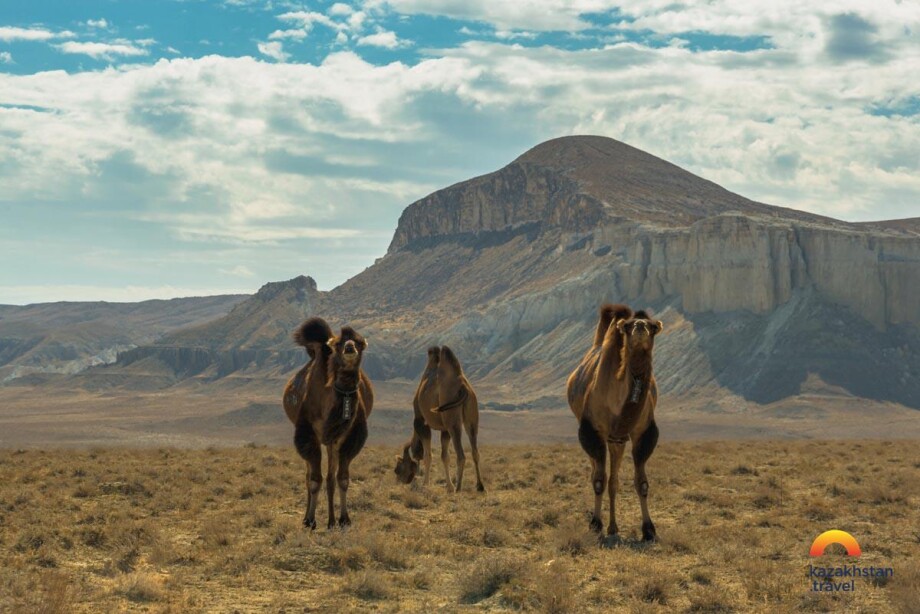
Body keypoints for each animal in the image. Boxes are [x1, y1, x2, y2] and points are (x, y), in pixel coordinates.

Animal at [282, 318, 372, 528]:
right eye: (339, 344)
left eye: (359, 342)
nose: (349, 347)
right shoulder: (308, 433)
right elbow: (315, 480)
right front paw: (311, 520)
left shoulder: (348, 437)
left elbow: (342, 478)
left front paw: (344, 519)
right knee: (309, 476)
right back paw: (310, 517)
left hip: (333, 442)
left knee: (331, 477)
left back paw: (331, 520)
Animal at [392, 346, 486, 496]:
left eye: (398, 468)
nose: (400, 482)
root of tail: (464, 388)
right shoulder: (444, 429)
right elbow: (444, 456)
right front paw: (449, 486)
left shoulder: (421, 422)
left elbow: (428, 455)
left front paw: (426, 484)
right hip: (472, 418)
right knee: (475, 451)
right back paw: (480, 486)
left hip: (453, 421)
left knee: (461, 455)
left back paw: (459, 488)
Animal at [564, 306, 664, 540]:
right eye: (628, 326)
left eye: (652, 326)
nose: (640, 327)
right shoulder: (592, 430)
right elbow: (599, 480)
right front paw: (595, 523)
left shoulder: (642, 432)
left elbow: (641, 482)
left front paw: (648, 529)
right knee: (597, 473)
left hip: (617, 441)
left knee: (614, 481)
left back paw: (613, 527)